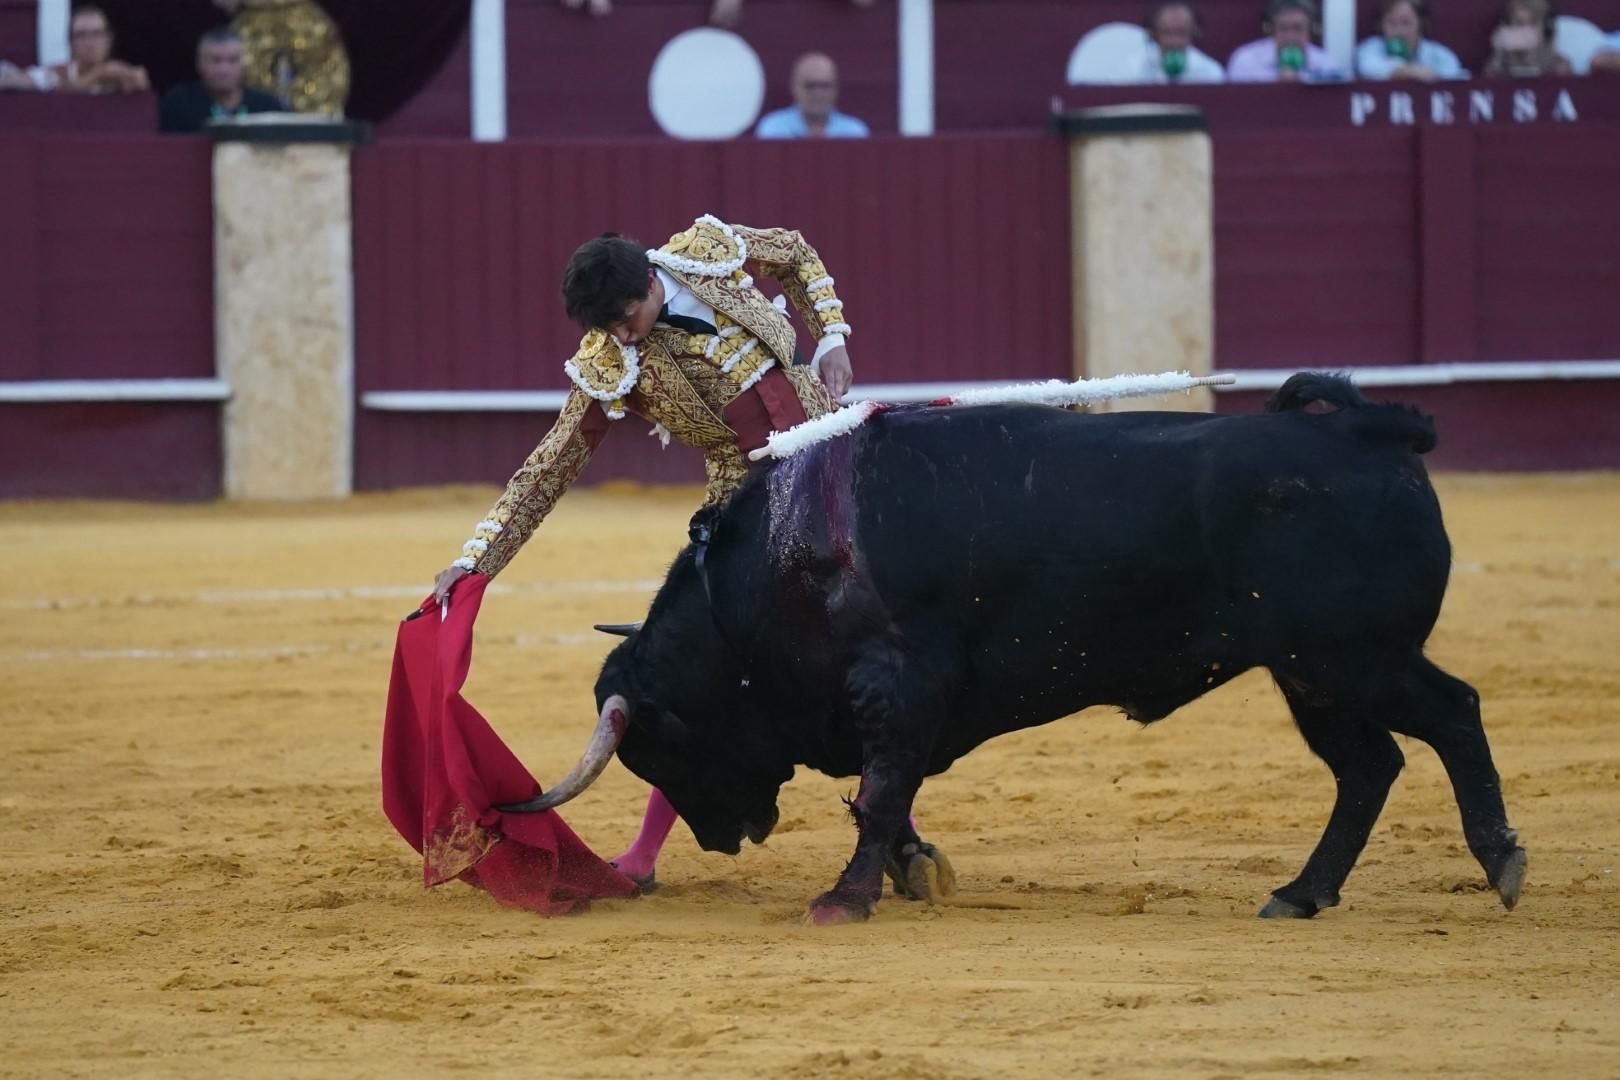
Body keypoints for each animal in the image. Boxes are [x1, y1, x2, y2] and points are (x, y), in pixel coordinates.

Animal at [511, 375, 1522, 926]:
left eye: (662, 747)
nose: (725, 839)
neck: (767, 575)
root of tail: (1362, 429)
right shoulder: (896, 703)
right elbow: (885, 795)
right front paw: (907, 875)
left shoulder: (898, 684)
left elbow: (880, 792)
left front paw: (845, 898)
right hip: (1311, 674)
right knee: (1369, 766)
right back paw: (1302, 892)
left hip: (1355, 656)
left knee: (1451, 714)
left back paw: (1500, 862)